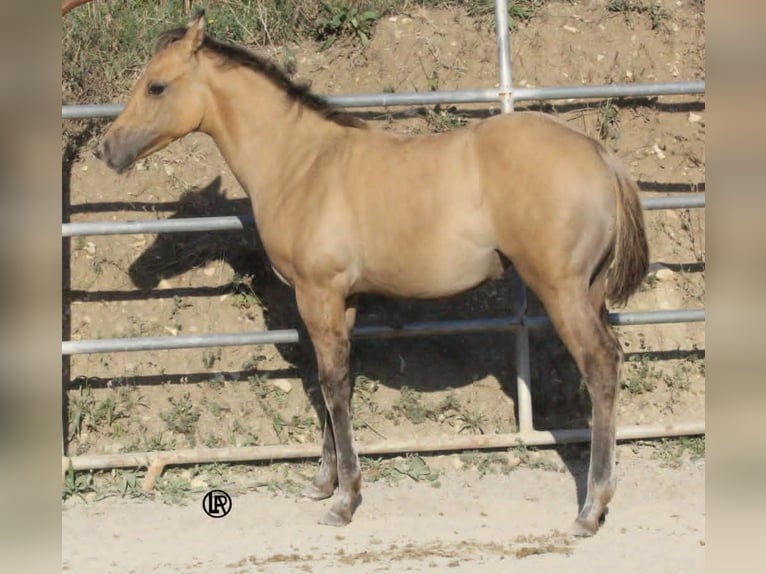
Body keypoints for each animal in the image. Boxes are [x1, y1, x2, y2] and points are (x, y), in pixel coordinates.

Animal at [99, 13, 649, 536]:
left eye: (156, 86)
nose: (107, 149)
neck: (303, 165)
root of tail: (599, 154)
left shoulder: (317, 293)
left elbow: (332, 385)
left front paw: (344, 501)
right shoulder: (341, 300)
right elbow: (330, 382)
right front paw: (325, 483)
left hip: (562, 290)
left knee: (601, 367)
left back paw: (591, 508)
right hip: (588, 290)